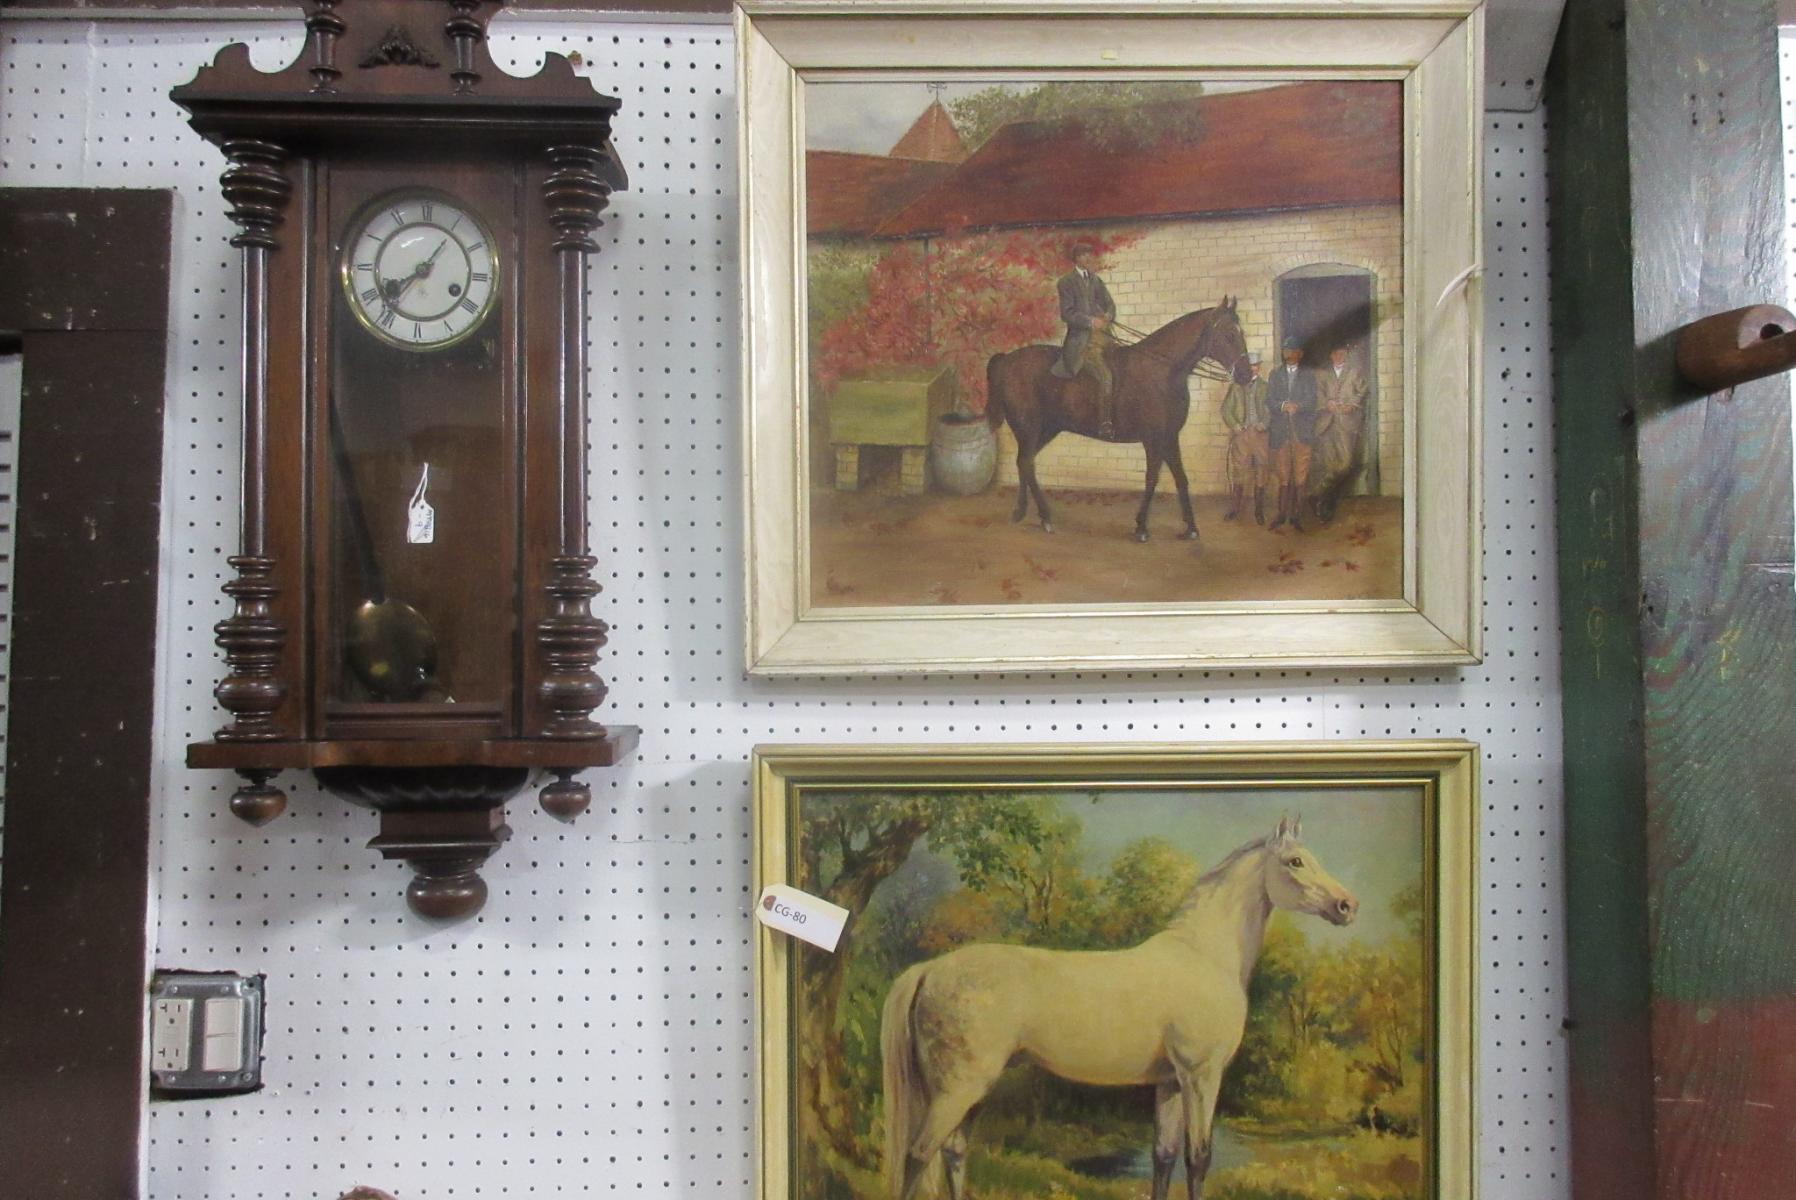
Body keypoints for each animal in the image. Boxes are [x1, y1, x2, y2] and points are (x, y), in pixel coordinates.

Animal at [880, 817, 1358, 1200]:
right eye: (1295, 862)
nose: (1347, 906)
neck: (1204, 956)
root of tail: (929, 969)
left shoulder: (1170, 1083)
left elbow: (1164, 1156)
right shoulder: (1201, 1076)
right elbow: (1198, 1158)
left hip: (971, 1089)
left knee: (954, 1152)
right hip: (959, 1087)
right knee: (918, 1154)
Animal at [984, 299, 1252, 544]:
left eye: (1241, 332)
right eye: (1229, 334)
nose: (1246, 375)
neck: (1162, 370)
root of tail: (1007, 360)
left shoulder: (1169, 437)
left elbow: (1181, 478)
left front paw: (1191, 528)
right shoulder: (1153, 439)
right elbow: (1152, 479)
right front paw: (1141, 527)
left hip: (1045, 430)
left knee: (1024, 462)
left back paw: (1022, 512)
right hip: (1029, 427)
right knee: (1026, 463)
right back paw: (1045, 517)